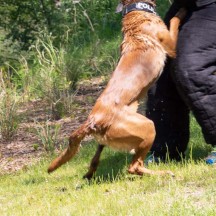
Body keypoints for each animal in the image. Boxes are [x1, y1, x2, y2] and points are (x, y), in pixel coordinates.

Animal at [47, 0, 186, 179]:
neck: (136, 12)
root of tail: (93, 120)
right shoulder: (172, 46)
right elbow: (174, 20)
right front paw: (182, 11)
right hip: (148, 127)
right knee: (134, 166)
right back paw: (162, 173)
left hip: (112, 138)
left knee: (97, 159)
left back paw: (90, 173)